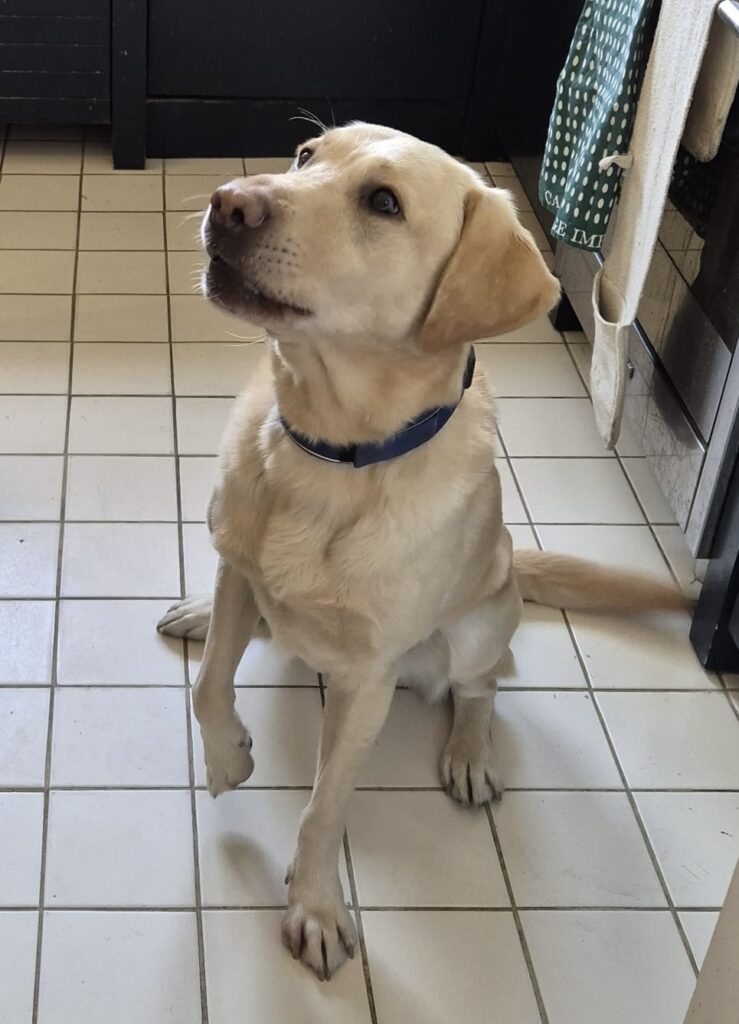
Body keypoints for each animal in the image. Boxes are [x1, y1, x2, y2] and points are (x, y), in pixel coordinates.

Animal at [157, 123, 685, 979]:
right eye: (305, 156)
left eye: (383, 202)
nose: (228, 202)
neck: (328, 451)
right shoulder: (238, 565)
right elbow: (208, 689)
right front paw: (228, 759)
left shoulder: (368, 680)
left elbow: (323, 808)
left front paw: (315, 907)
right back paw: (203, 616)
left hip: (478, 622)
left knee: (483, 684)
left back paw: (469, 754)